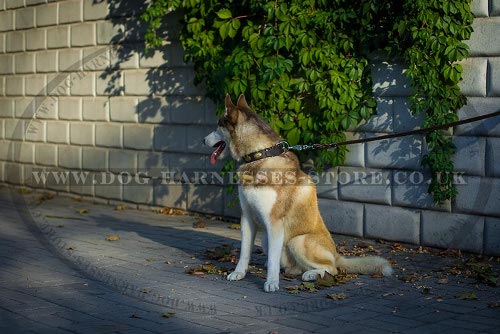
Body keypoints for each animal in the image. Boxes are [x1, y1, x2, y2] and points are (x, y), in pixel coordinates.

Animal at [205, 94, 392, 292]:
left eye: (217, 125)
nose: (202, 140)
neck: (261, 155)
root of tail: (337, 254)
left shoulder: (274, 223)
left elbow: (272, 260)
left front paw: (271, 282)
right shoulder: (247, 217)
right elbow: (244, 252)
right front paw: (239, 273)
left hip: (298, 241)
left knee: (331, 268)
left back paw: (311, 274)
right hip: (266, 239)